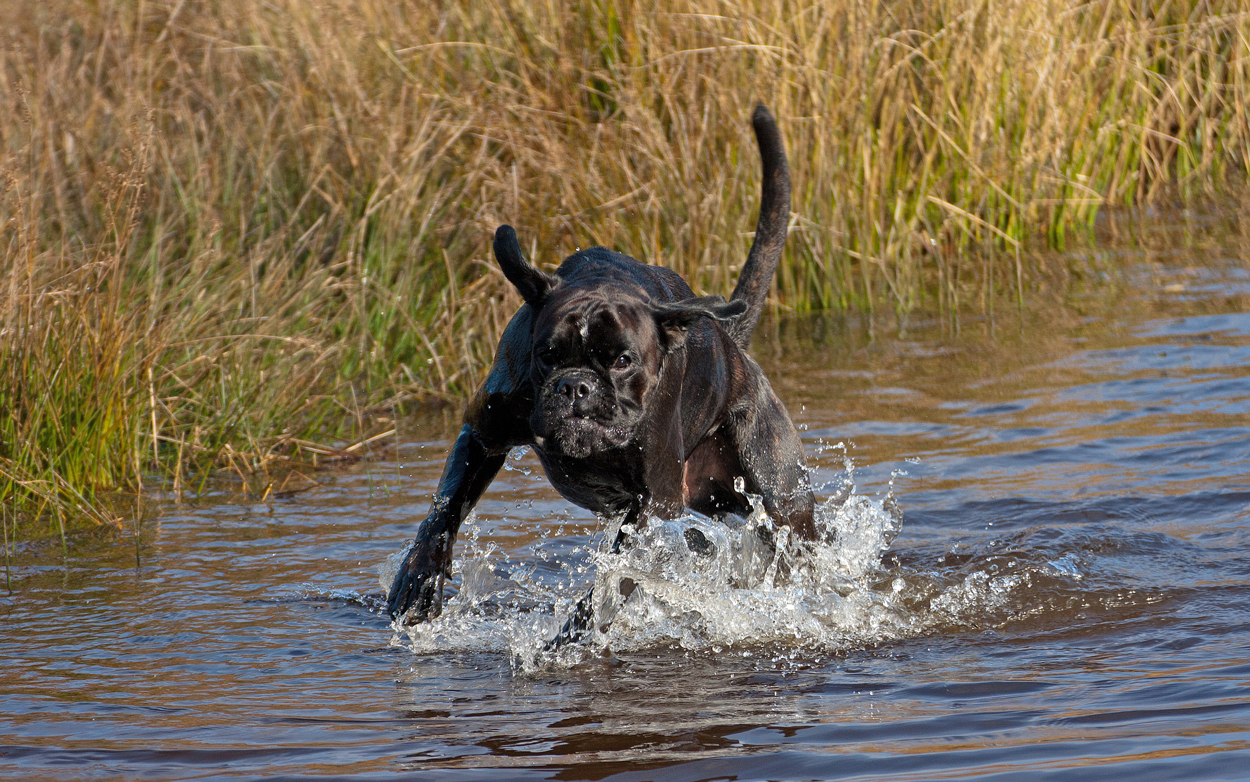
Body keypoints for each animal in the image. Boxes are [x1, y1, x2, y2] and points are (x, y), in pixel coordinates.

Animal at [390, 104, 820, 639]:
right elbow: (445, 510)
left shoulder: (652, 507)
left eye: (622, 360)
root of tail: (731, 345)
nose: (577, 386)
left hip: (778, 496)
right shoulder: (482, 433)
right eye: (548, 355)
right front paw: (418, 580)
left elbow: (617, 576)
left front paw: (578, 628)